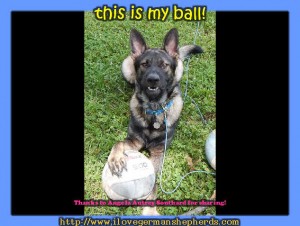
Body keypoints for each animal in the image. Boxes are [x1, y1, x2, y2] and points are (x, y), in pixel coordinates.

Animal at [107, 28, 202, 215]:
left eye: (164, 65)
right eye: (145, 64)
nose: (152, 79)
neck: (154, 109)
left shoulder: (159, 152)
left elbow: (155, 179)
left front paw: (150, 210)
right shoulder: (134, 141)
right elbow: (118, 142)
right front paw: (115, 159)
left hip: (180, 70)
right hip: (126, 69)